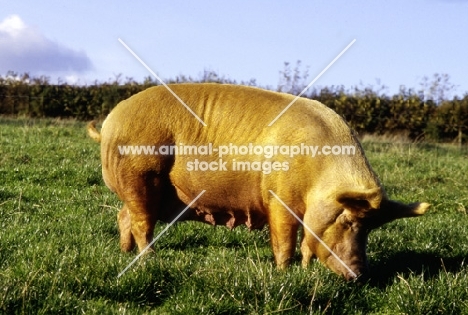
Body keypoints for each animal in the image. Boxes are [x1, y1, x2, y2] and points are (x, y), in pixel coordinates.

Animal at [88, 82, 432, 280]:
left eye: (371, 229)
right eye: (349, 221)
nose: (359, 275)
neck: (318, 176)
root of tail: (109, 122)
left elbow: (307, 244)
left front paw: (305, 271)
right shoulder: (278, 198)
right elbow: (284, 241)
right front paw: (283, 274)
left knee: (124, 216)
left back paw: (124, 253)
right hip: (141, 177)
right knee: (140, 223)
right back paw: (149, 260)